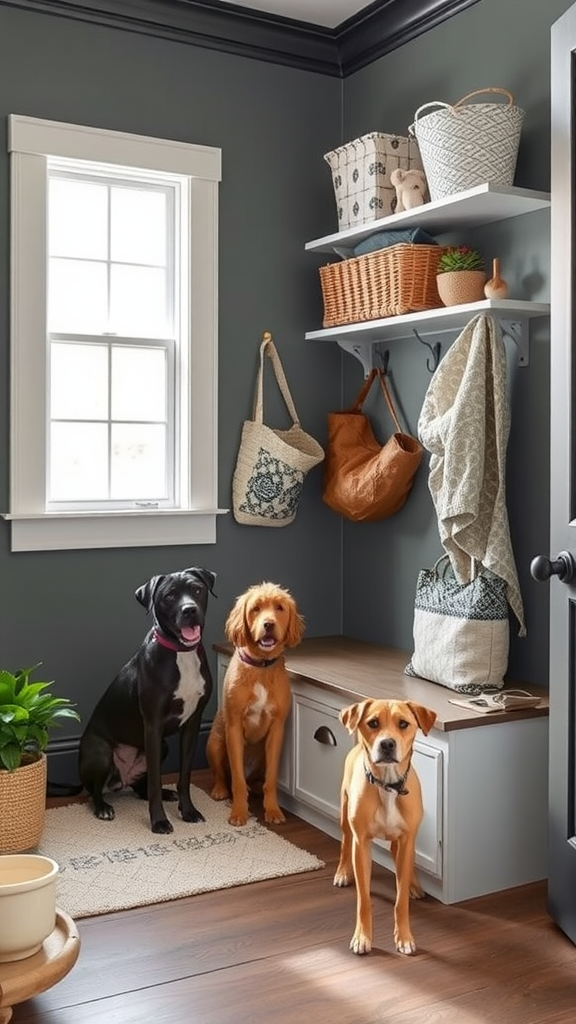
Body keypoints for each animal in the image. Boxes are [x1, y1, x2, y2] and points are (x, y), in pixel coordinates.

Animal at [78, 565, 215, 835]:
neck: (181, 653)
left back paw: (166, 793)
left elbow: (184, 776)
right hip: (101, 751)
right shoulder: (153, 725)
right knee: (94, 791)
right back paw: (103, 808)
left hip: (163, 746)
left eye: (197, 589)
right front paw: (159, 821)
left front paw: (188, 811)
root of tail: (121, 779)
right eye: (169, 596)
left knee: (140, 787)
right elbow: (154, 781)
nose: (189, 610)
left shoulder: (192, 724)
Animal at [206, 581, 305, 827]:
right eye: (255, 609)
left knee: (256, 780)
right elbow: (238, 781)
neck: (261, 666)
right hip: (214, 744)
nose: (268, 624)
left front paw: (273, 810)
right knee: (222, 775)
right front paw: (239, 812)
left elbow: (271, 779)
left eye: (279, 607)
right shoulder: (233, 728)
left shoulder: (277, 729)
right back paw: (220, 790)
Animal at [332, 700, 434, 954]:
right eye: (373, 723)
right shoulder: (361, 844)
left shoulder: (407, 840)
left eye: (403, 724)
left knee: (400, 856)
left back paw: (414, 885)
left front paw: (404, 937)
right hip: (344, 814)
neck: (388, 785)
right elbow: (364, 899)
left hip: (407, 841)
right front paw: (362, 937)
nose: (387, 743)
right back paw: (342, 872)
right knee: (345, 842)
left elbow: (400, 900)